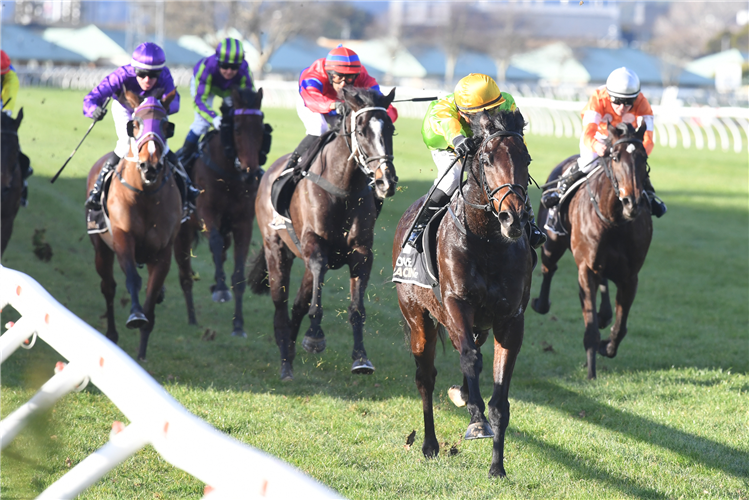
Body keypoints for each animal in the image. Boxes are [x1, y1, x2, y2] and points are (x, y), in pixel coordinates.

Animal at [86, 90, 181, 362]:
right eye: (135, 124)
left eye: (166, 125)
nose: (150, 165)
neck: (146, 196)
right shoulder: (122, 239)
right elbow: (132, 279)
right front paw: (135, 315)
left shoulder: (163, 252)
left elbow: (152, 294)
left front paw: (141, 352)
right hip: (101, 248)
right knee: (108, 287)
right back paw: (111, 334)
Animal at [174, 86, 268, 338]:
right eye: (236, 128)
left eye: (261, 128)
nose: (250, 172)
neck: (229, 176)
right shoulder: (207, 213)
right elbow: (214, 243)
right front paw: (222, 290)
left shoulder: (243, 223)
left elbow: (238, 274)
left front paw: (238, 325)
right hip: (181, 235)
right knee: (185, 276)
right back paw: (192, 318)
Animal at [248, 87, 398, 382]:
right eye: (361, 131)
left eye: (391, 129)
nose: (386, 181)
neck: (343, 188)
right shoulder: (313, 245)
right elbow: (318, 270)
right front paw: (315, 336)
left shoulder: (362, 253)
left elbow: (356, 307)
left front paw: (361, 357)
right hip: (276, 249)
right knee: (281, 304)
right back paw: (285, 361)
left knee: (297, 304)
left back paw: (290, 352)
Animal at [392, 108, 532, 476]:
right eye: (485, 159)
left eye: (526, 158)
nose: (513, 218)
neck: (488, 243)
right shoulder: (456, 303)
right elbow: (469, 358)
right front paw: (477, 422)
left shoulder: (510, 320)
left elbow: (500, 399)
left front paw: (497, 465)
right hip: (418, 318)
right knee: (425, 377)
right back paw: (429, 443)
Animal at [528, 122, 652, 378]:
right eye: (615, 157)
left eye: (643, 157)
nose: (632, 202)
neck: (614, 221)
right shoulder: (585, 269)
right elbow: (590, 326)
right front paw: (591, 372)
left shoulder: (630, 277)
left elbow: (621, 326)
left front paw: (607, 346)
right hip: (552, 241)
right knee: (548, 267)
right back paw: (540, 303)